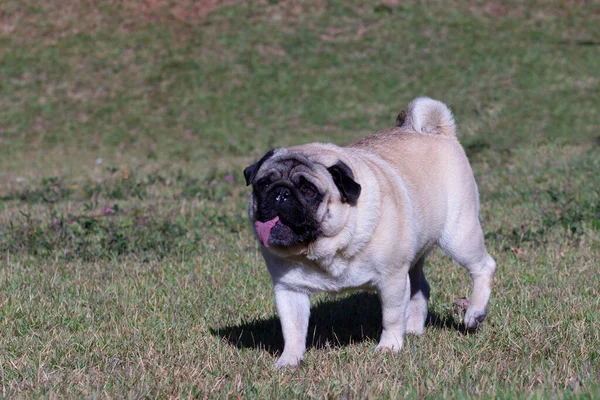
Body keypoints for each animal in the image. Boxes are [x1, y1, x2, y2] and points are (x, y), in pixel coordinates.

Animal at [241, 97, 494, 368]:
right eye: (263, 184)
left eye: (309, 191)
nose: (281, 193)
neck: (326, 247)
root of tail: (436, 131)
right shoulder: (289, 290)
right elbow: (293, 329)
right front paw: (289, 361)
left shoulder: (392, 279)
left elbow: (391, 316)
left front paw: (389, 346)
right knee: (421, 287)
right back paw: (413, 329)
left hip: (458, 236)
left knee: (484, 267)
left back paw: (474, 313)